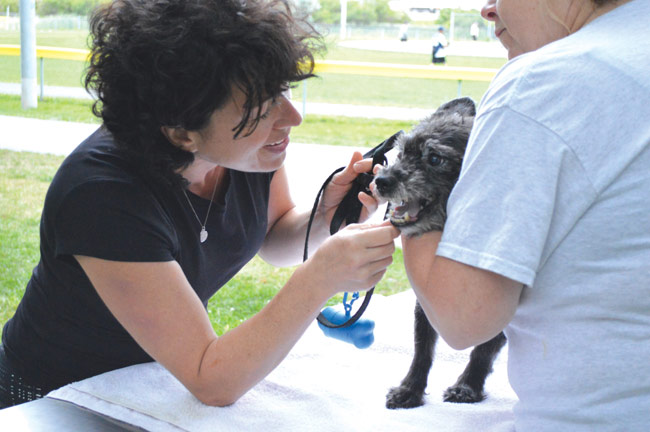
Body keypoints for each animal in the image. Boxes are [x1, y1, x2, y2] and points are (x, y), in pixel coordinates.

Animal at [372, 97, 504, 408]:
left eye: (434, 159)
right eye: (401, 152)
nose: (381, 181)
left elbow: (484, 348)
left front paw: (468, 385)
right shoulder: (426, 301)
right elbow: (423, 349)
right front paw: (410, 389)